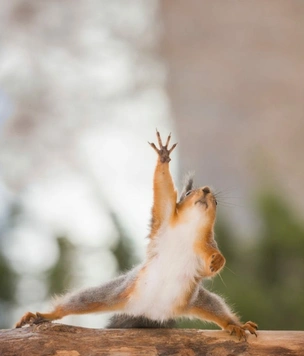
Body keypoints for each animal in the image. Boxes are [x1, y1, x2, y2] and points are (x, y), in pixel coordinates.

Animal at [14, 131, 256, 340]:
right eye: (188, 193)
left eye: (216, 201)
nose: (206, 190)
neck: (189, 228)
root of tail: (151, 312)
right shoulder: (164, 217)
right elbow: (164, 191)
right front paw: (163, 156)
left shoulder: (204, 244)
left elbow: (209, 265)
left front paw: (218, 260)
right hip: (115, 292)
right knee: (79, 301)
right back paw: (44, 315)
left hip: (195, 299)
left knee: (218, 310)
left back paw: (235, 325)